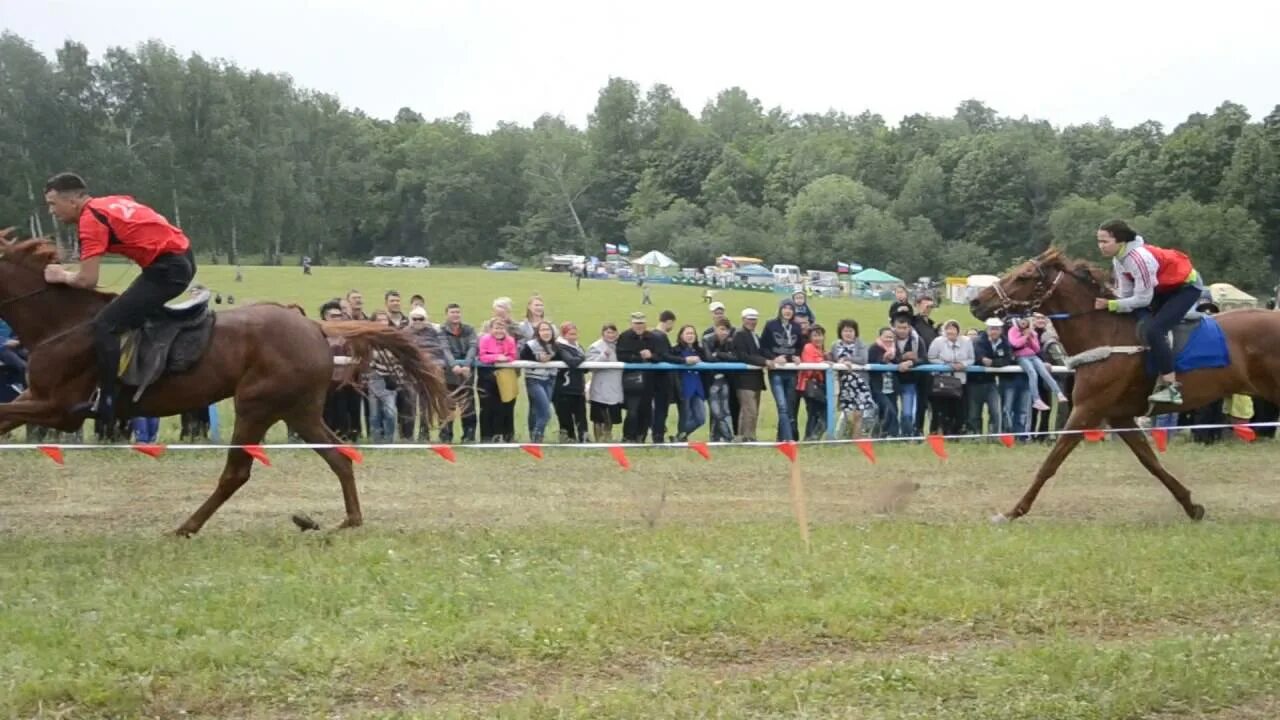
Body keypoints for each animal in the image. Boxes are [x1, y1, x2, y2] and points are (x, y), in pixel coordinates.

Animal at [0, 229, 450, 532]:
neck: (61, 323)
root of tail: (316, 326)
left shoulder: (57, 408)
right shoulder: (39, 400)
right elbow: (6, 414)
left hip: (255, 406)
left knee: (237, 473)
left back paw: (187, 527)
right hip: (299, 411)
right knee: (339, 455)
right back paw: (347, 520)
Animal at [967, 245, 1280, 520]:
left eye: (1023, 276)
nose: (976, 302)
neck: (1105, 333)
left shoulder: (1088, 409)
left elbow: (1051, 462)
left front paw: (1012, 512)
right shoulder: (1119, 415)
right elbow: (1150, 461)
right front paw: (1192, 506)